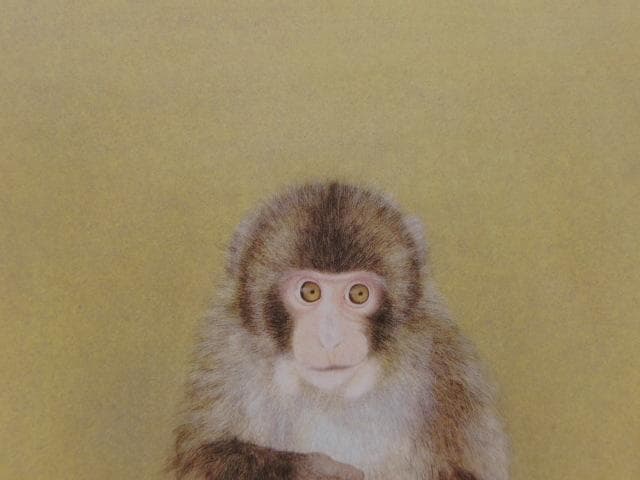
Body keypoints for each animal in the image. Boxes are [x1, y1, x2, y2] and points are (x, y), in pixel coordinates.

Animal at [170, 181, 508, 480]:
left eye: (358, 294)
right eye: (309, 292)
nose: (330, 339)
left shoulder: (447, 368)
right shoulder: (226, 352)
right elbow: (200, 457)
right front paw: (315, 471)